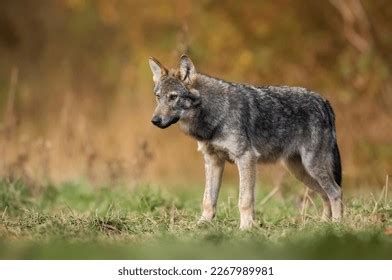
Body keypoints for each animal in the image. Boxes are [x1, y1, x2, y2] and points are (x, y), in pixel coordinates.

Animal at [149, 55, 342, 230]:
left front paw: (245, 228)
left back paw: (336, 225)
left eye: (173, 97)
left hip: (311, 167)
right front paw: (201, 225)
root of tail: (324, 101)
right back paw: (324, 225)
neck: (215, 114)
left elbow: (245, 200)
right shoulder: (213, 161)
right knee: (326, 195)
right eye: (158, 97)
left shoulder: (246, 158)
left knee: (335, 192)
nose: (155, 120)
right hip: (300, 171)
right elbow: (208, 200)